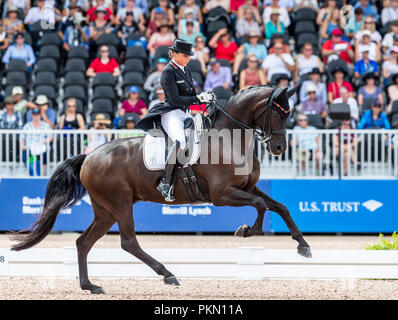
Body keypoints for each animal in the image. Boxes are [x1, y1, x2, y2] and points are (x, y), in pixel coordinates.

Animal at [10, 84, 312, 292]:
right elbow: (261, 207)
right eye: (277, 113)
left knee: (84, 242)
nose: (279, 148)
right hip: (120, 203)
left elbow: (279, 207)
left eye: (289, 115)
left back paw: (90, 286)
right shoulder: (221, 195)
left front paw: (303, 246)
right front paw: (247, 231)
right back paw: (167, 274)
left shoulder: (249, 187)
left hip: (105, 210)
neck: (228, 139)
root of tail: (89, 156)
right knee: (128, 242)